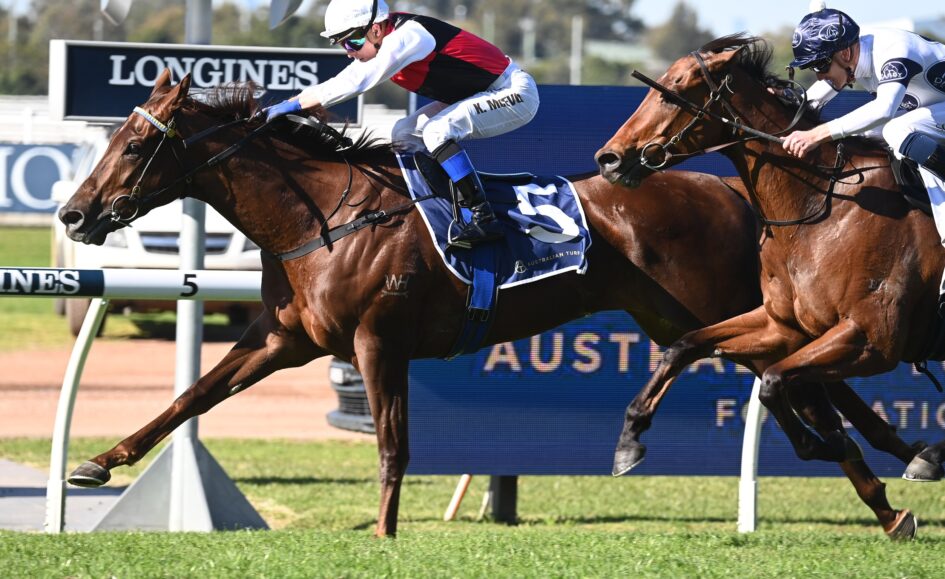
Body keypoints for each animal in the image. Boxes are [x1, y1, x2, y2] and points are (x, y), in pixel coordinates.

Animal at [58, 69, 917, 538]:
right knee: (810, 380)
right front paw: (96, 463)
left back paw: (889, 479)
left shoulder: (377, 341)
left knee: (813, 380)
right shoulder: (284, 338)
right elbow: (189, 398)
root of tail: (730, 189)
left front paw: (383, 532)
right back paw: (895, 474)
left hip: (724, 307)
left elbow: (392, 444)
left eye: (138, 144)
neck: (322, 215)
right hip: (683, 316)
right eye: (109, 138)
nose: (73, 213)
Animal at [595, 33, 945, 505]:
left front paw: (832, 443)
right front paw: (630, 438)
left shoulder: (872, 340)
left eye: (674, 90)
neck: (822, 207)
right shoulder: (782, 325)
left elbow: (775, 381)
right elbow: (685, 345)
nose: (608, 159)